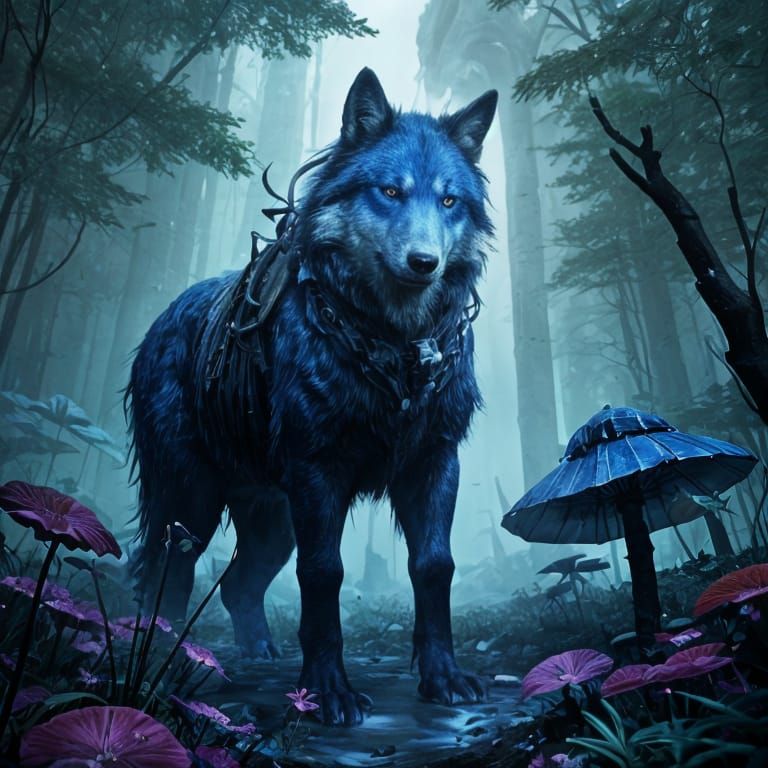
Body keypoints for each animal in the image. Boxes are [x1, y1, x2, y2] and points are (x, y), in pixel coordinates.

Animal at [126, 68, 497, 726]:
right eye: (390, 192)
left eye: (449, 201)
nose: (424, 262)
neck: (393, 345)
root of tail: (158, 323)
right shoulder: (318, 471)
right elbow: (324, 575)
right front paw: (328, 693)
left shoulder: (434, 462)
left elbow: (435, 567)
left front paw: (444, 678)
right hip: (191, 504)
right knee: (166, 575)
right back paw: (166, 662)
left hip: (271, 519)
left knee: (238, 582)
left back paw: (257, 656)